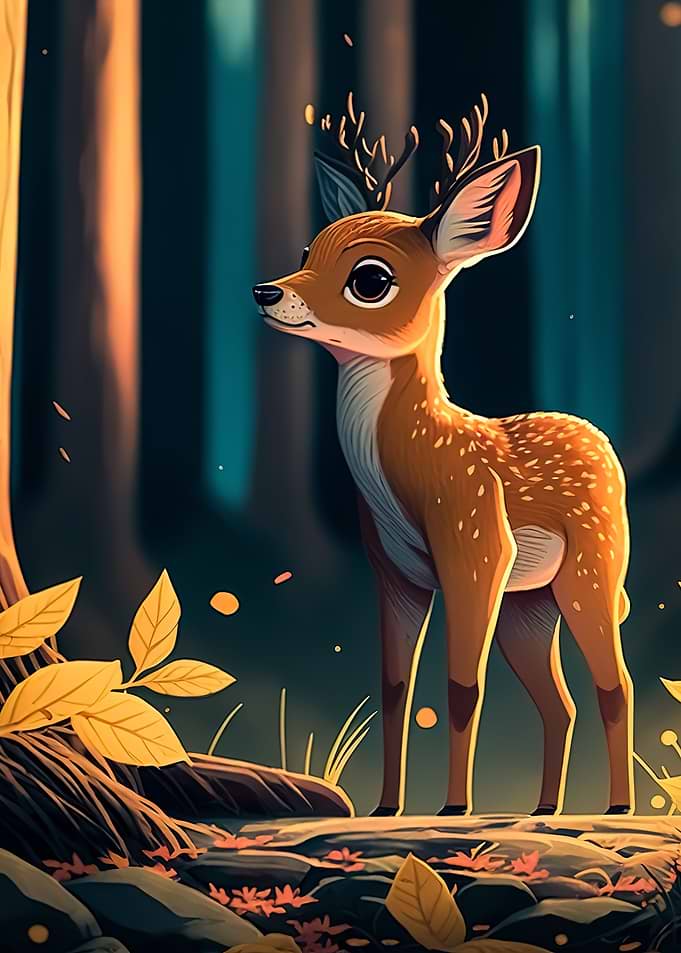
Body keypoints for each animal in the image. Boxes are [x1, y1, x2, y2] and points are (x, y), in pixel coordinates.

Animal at [253, 93, 634, 817]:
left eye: (370, 278)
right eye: (308, 247)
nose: (265, 291)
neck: (414, 467)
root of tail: (600, 438)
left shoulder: (475, 546)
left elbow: (460, 689)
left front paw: (454, 807)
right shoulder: (393, 573)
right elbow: (393, 690)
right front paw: (385, 807)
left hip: (590, 566)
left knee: (613, 683)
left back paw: (617, 807)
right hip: (528, 605)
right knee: (559, 702)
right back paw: (544, 809)